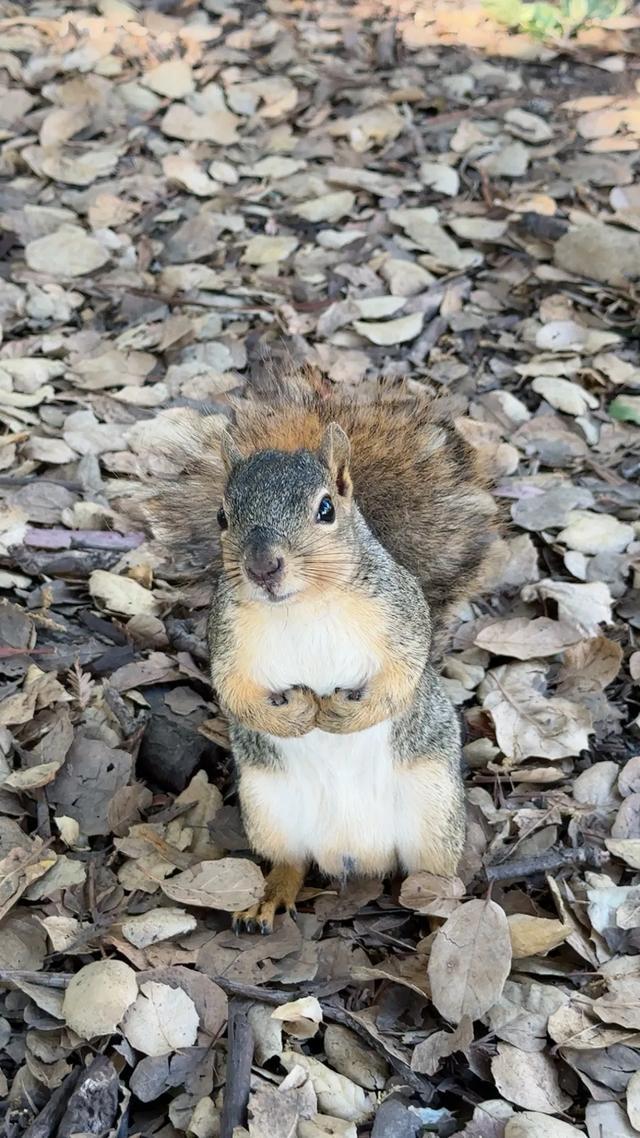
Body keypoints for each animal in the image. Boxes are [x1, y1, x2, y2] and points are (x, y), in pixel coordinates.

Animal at [145, 364, 498, 933]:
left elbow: (403, 675)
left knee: (433, 878)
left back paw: (441, 924)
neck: (304, 604)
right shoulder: (227, 639)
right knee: (291, 861)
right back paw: (270, 898)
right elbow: (233, 691)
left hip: (435, 811)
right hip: (268, 810)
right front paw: (292, 717)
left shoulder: (401, 615)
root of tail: (354, 854)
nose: (263, 567)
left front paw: (342, 716)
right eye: (221, 516)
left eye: (326, 509)